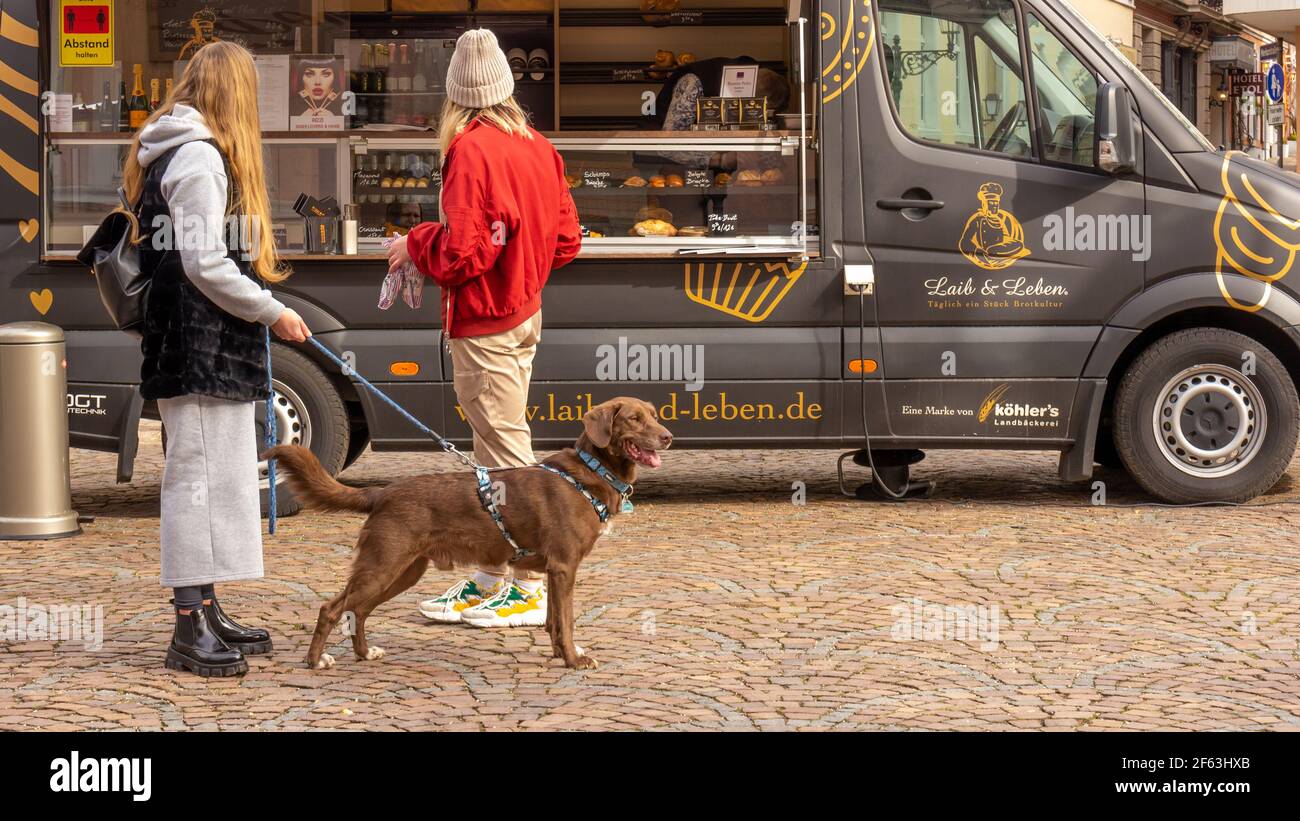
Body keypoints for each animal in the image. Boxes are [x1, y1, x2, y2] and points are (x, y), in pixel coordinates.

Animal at [263, 394, 670, 670]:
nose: (667, 436)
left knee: (358, 610)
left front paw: (561, 654)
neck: (589, 472)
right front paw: (573, 659)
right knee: (332, 608)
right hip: (383, 565)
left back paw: (364, 653)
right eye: (634, 419)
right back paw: (316, 661)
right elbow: (566, 622)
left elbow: (555, 621)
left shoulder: (557, 571)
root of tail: (383, 492)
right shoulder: (564, 566)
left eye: (654, 416)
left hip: (403, 571)